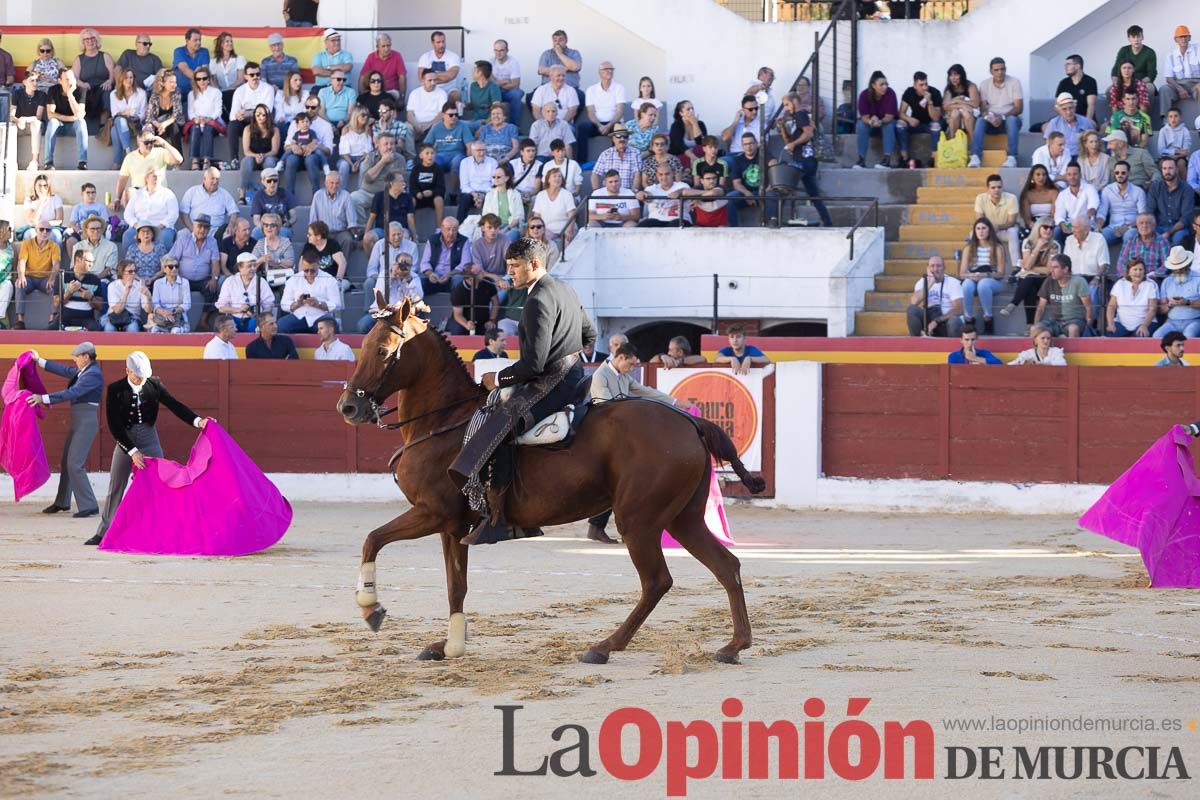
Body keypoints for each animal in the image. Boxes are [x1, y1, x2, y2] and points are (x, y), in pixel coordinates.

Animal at [338, 297, 768, 666]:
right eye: (365, 346)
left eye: (383, 350)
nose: (349, 407)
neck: (445, 422)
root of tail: (690, 423)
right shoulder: (453, 525)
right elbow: (455, 584)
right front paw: (450, 645)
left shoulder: (432, 512)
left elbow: (372, 539)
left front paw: (371, 608)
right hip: (683, 518)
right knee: (726, 565)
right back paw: (734, 645)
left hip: (639, 520)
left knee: (657, 581)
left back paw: (604, 646)